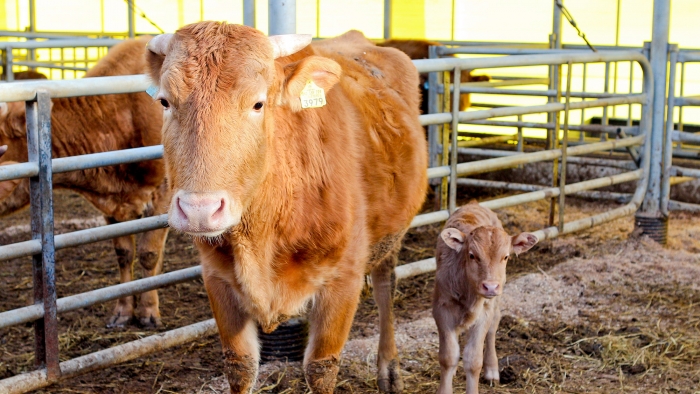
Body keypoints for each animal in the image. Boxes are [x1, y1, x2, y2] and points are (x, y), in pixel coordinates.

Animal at [0, 37, 169, 330]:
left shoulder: (163, 192)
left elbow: (149, 252)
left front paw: (148, 311)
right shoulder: (115, 205)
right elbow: (124, 253)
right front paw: (123, 311)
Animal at [146, 23, 426, 392]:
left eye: (258, 104)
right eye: (165, 101)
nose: (199, 210)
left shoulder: (343, 282)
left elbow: (321, 367)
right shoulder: (217, 281)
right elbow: (240, 366)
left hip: (391, 236)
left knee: (385, 288)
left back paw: (389, 369)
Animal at [432, 202, 540, 392]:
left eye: (506, 256)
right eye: (472, 255)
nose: (490, 286)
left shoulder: (483, 313)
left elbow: (474, 361)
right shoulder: (442, 309)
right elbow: (448, 357)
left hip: (495, 303)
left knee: (492, 328)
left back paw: (492, 370)